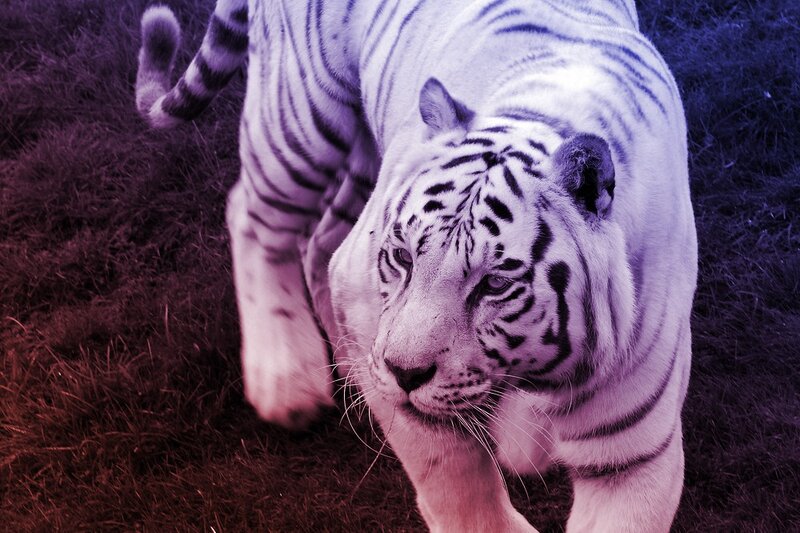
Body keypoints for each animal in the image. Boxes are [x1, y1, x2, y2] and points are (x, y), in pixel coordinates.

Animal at [135, 0, 698, 531]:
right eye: (403, 256)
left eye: (495, 283)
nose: (404, 373)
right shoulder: (371, 309)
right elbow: (455, 479)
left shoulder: (631, 454)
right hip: (299, 118)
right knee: (252, 215)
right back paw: (287, 378)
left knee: (318, 240)